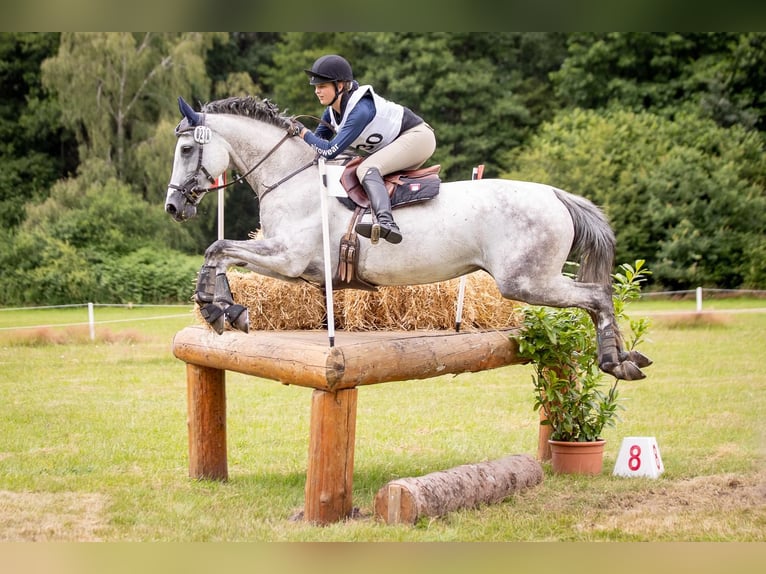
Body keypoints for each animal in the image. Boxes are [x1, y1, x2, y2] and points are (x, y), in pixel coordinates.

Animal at [165, 96, 652, 380]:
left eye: (187, 149)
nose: (173, 207)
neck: (292, 176)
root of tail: (554, 194)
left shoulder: (287, 258)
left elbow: (218, 248)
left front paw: (216, 308)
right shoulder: (294, 266)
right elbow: (222, 256)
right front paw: (227, 309)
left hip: (527, 281)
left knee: (596, 295)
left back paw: (615, 362)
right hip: (533, 280)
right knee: (598, 296)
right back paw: (626, 359)